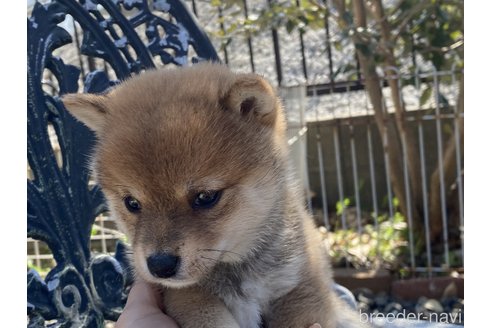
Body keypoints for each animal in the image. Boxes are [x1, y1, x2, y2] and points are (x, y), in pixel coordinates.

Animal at [62, 62, 366, 326]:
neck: (236, 270)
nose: (160, 265)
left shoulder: (301, 288)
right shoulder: (185, 296)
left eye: (206, 197)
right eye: (132, 203)